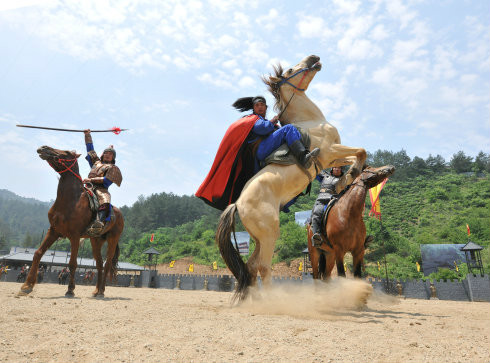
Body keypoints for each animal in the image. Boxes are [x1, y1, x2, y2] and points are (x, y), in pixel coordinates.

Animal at [20, 146, 124, 298]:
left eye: (67, 153)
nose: (43, 148)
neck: (70, 200)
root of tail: (119, 214)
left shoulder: (75, 236)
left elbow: (72, 263)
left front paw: (70, 289)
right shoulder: (53, 231)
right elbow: (38, 253)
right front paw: (27, 286)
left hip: (113, 239)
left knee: (107, 264)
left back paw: (101, 292)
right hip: (96, 240)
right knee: (99, 264)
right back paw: (96, 290)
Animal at [216, 53, 366, 298]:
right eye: (288, 70)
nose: (314, 57)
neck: (310, 121)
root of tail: (237, 204)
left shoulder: (333, 159)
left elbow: (356, 157)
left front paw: (347, 178)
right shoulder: (330, 151)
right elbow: (361, 151)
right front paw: (352, 174)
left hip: (259, 238)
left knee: (251, 267)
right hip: (269, 235)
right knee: (263, 267)